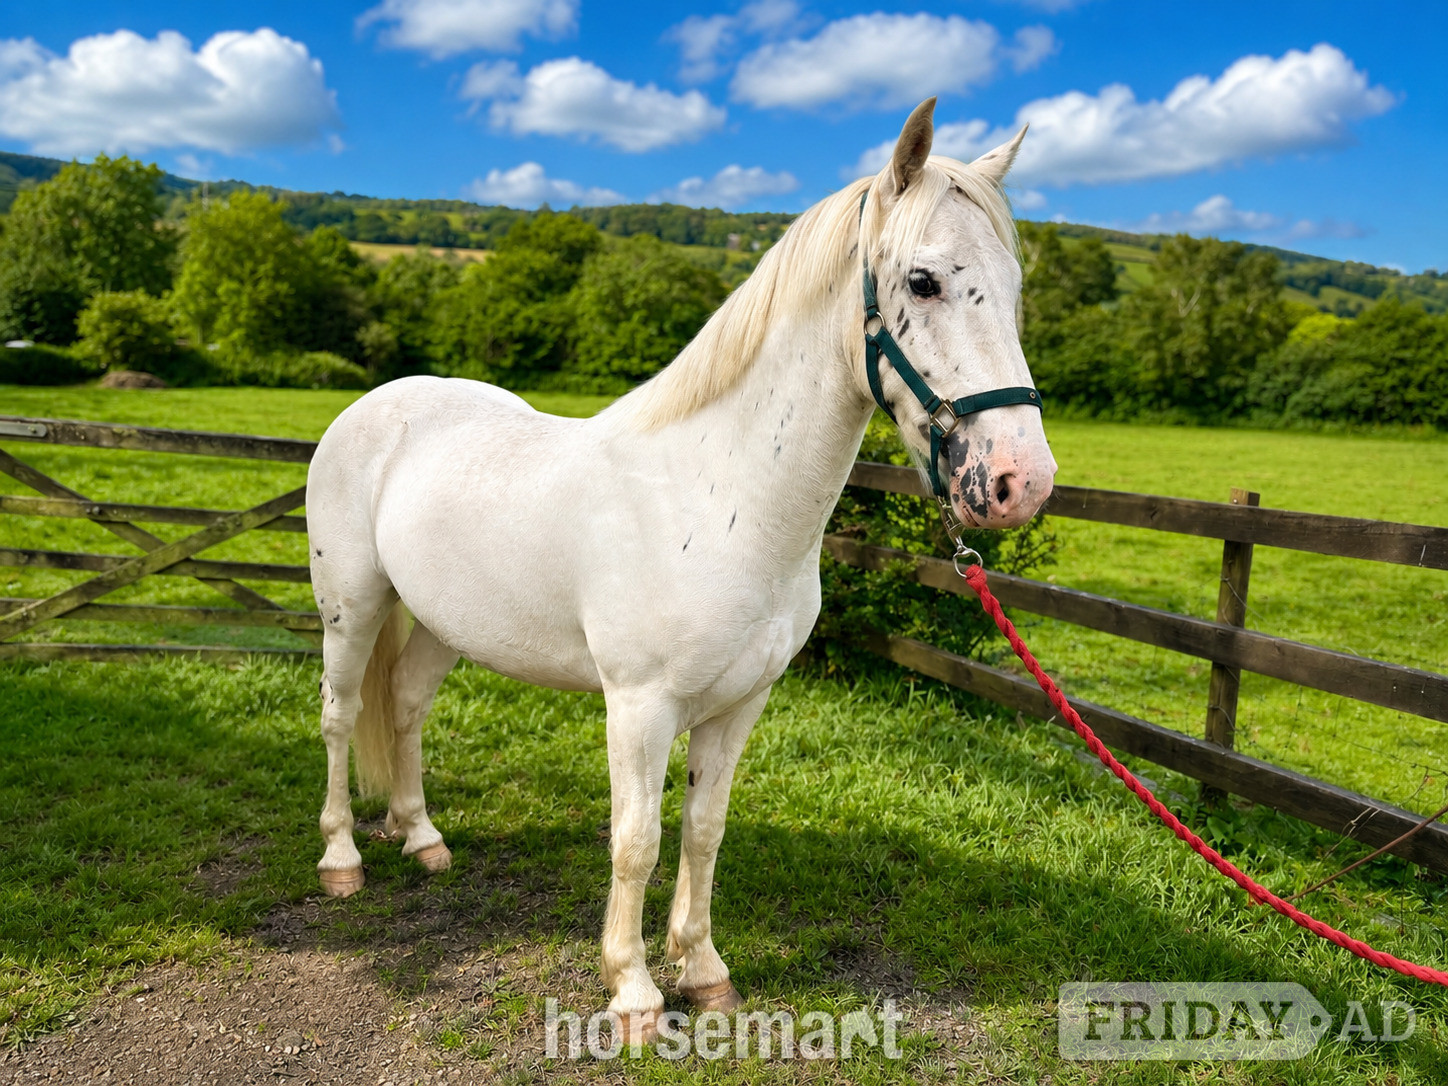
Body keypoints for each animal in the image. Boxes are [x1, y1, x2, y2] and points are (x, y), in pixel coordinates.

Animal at [304, 98, 1056, 1042]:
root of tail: (376, 405)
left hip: (446, 624)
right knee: (340, 718)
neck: (717, 492)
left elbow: (704, 829)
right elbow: (637, 841)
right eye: (923, 282)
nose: (1021, 481)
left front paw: (702, 971)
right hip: (352, 608)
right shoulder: (640, 706)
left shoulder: (740, 704)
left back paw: (423, 839)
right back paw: (341, 858)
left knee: (403, 709)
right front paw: (631, 992)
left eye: (1018, 287)